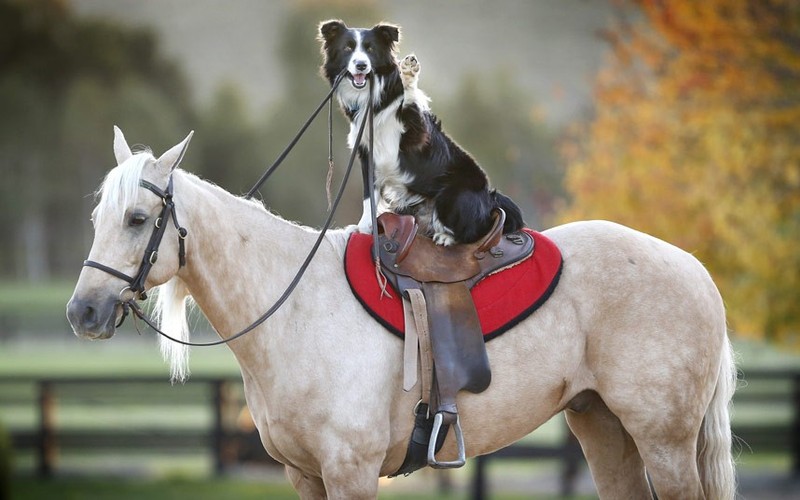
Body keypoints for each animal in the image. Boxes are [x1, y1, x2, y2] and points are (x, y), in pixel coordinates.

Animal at [65, 129, 736, 500]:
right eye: (97, 217)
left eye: (137, 219)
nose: (83, 311)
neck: (293, 311)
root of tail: (697, 272)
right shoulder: (305, 477)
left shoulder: (352, 473)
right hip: (603, 427)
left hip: (664, 440)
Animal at [318, 20, 524, 246]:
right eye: (347, 48)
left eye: (370, 49)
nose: (361, 65)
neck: (374, 98)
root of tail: (489, 197)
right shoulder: (366, 153)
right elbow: (368, 197)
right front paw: (363, 228)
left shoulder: (416, 133)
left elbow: (410, 100)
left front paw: (408, 74)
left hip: (453, 195)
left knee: (476, 231)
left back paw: (445, 237)